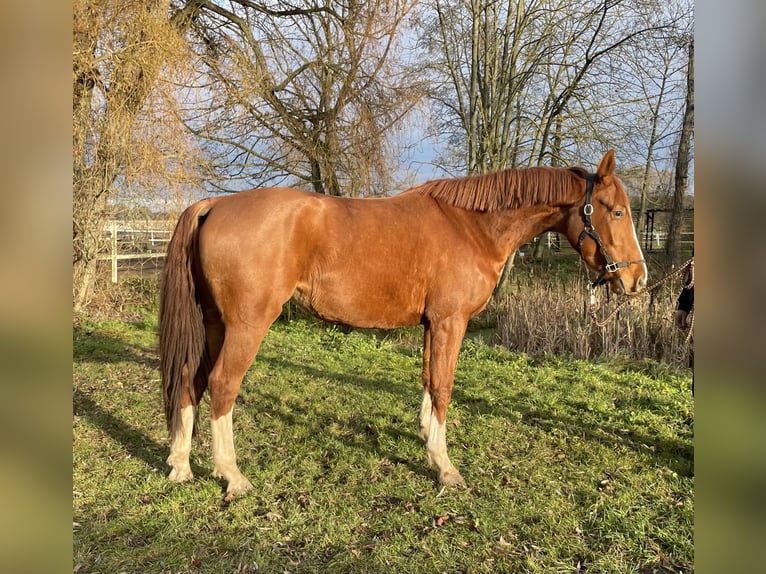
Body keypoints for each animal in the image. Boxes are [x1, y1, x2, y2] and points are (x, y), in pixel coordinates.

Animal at [159, 149, 647, 498]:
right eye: (616, 211)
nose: (636, 279)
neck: (471, 226)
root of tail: (215, 204)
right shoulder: (451, 322)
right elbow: (444, 387)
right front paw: (446, 467)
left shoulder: (434, 324)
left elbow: (429, 382)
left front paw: (428, 441)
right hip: (247, 325)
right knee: (222, 385)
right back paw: (232, 476)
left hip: (214, 323)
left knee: (190, 379)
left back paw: (181, 465)